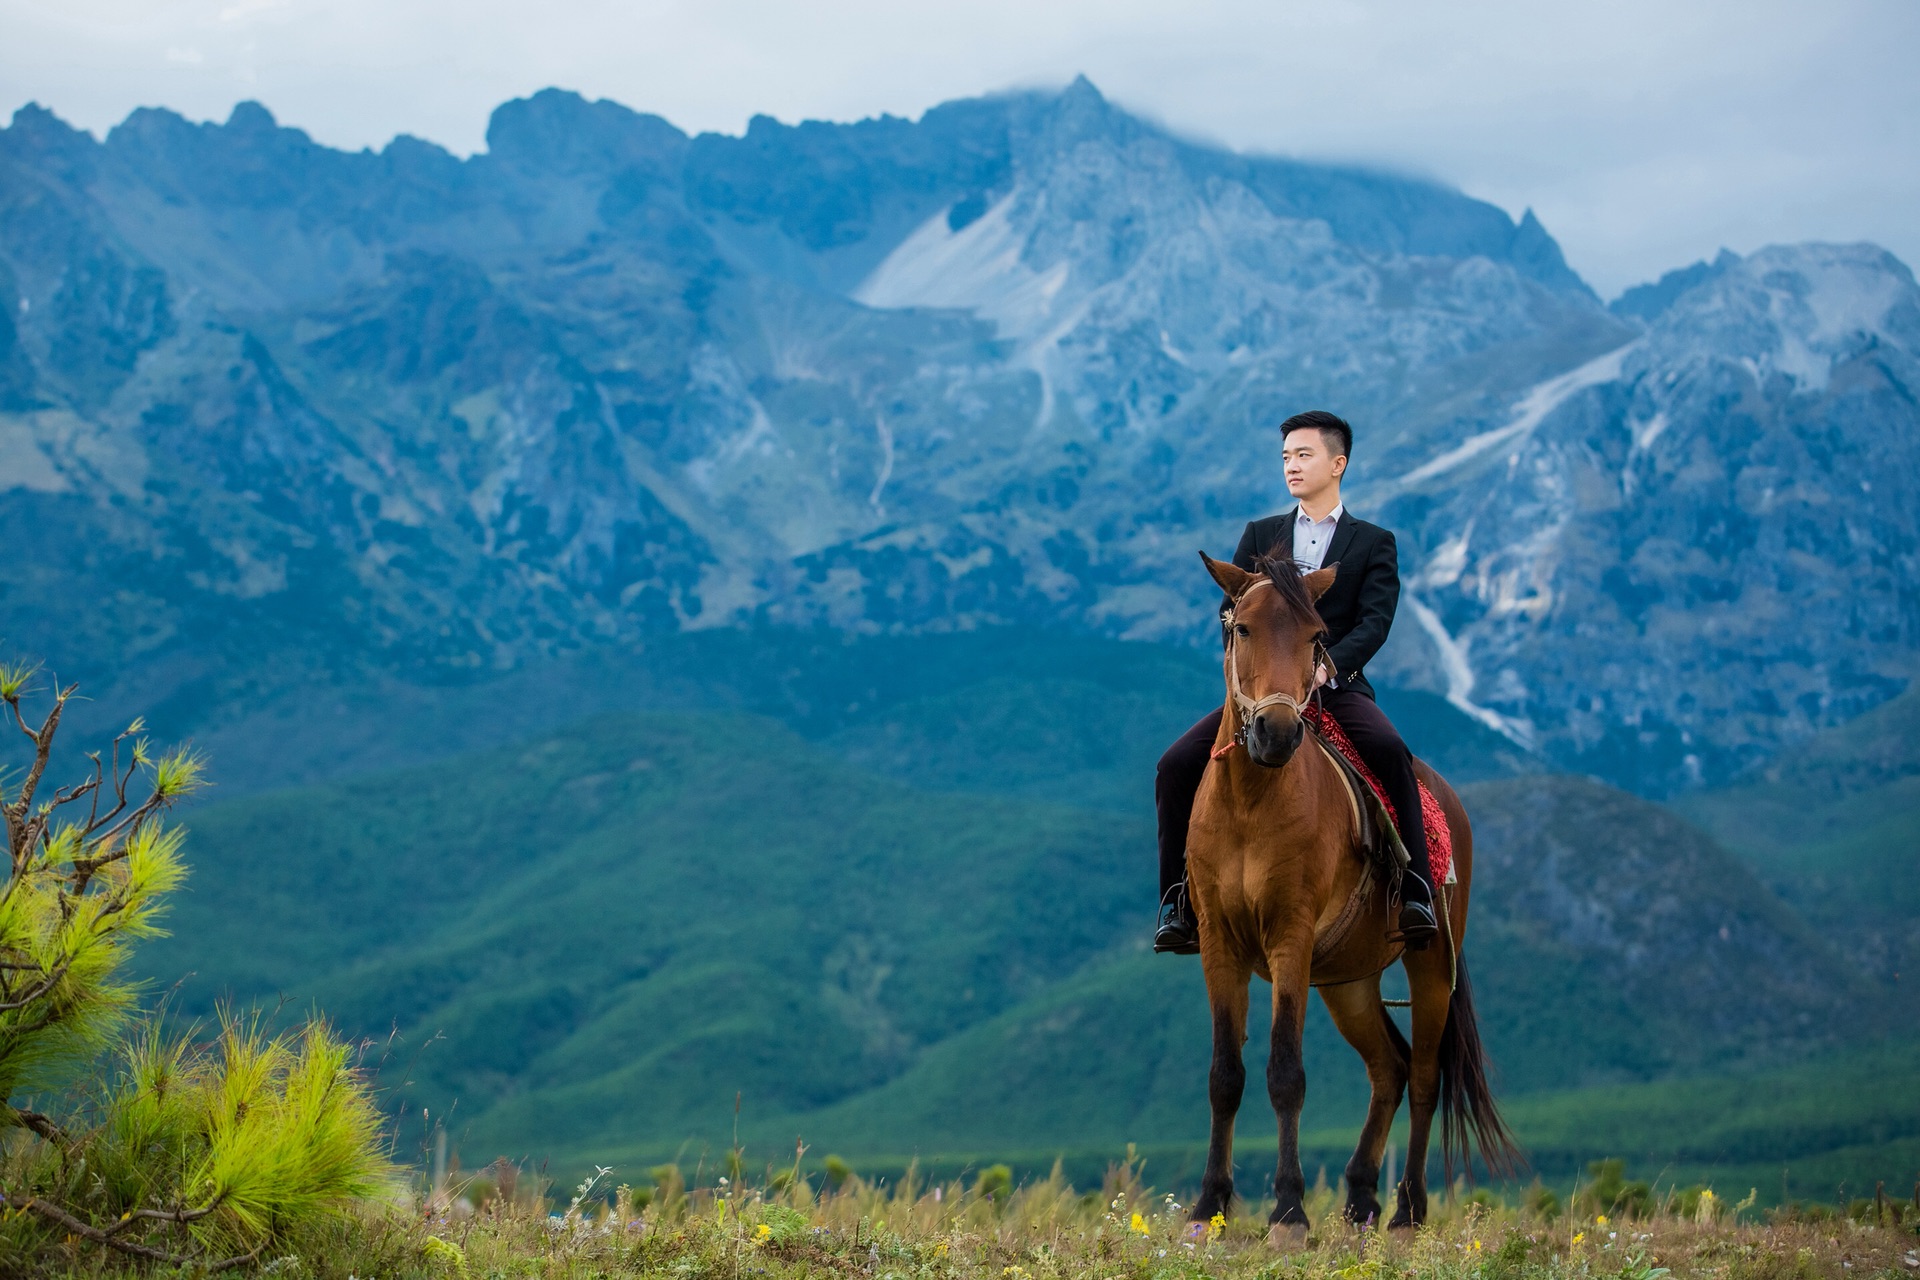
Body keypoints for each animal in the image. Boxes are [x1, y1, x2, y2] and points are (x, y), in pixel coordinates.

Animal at [1182, 552, 1512, 1243]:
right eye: (1243, 628)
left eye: (1317, 637)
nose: (1277, 733)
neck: (1252, 801)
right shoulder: (1220, 944)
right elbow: (1226, 1074)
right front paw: (1208, 1211)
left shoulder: (1290, 938)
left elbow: (1285, 1072)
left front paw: (1288, 1213)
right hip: (1348, 982)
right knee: (1389, 1066)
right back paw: (1361, 1199)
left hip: (1429, 963)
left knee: (1424, 1074)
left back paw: (1408, 1212)